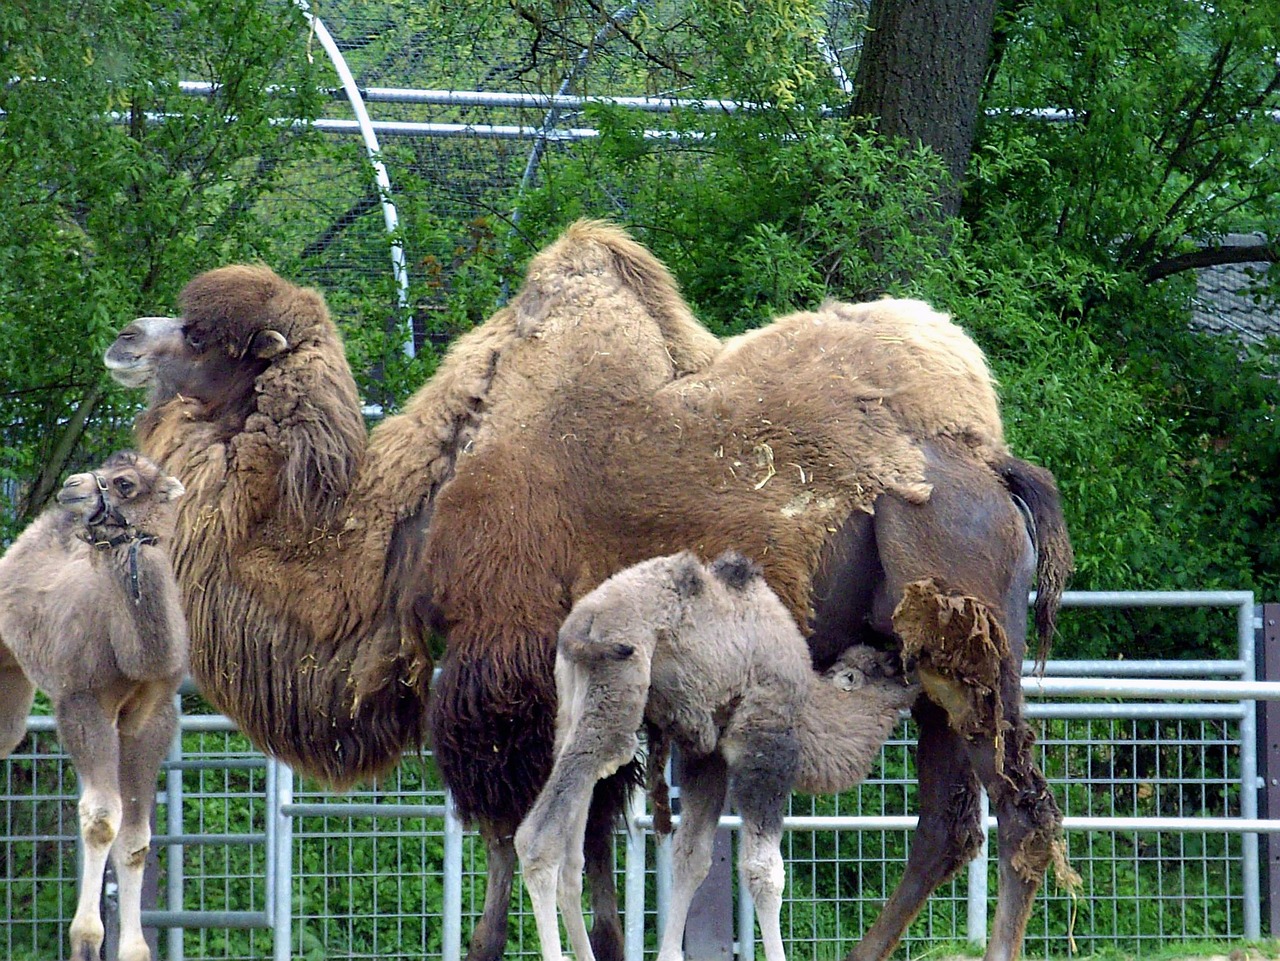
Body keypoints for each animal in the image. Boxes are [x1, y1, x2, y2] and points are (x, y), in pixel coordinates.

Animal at [0, 451, 188, 961]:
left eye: (125, 483)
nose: (71, 487)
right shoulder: (81, 702)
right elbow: (102, 820)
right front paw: (86, 939)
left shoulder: (152, 718)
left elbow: (136, 839)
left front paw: (134, 949)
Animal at [516, 550, 920, 961]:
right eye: (885, 667)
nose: (912, 669)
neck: (808, 706)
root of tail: (582, 620)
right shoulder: (764, 747)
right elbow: (764, 871)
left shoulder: (706, 757)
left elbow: (691, 858)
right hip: (619, 683)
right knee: (540, 837)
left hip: (574, 702)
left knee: (572, 856)